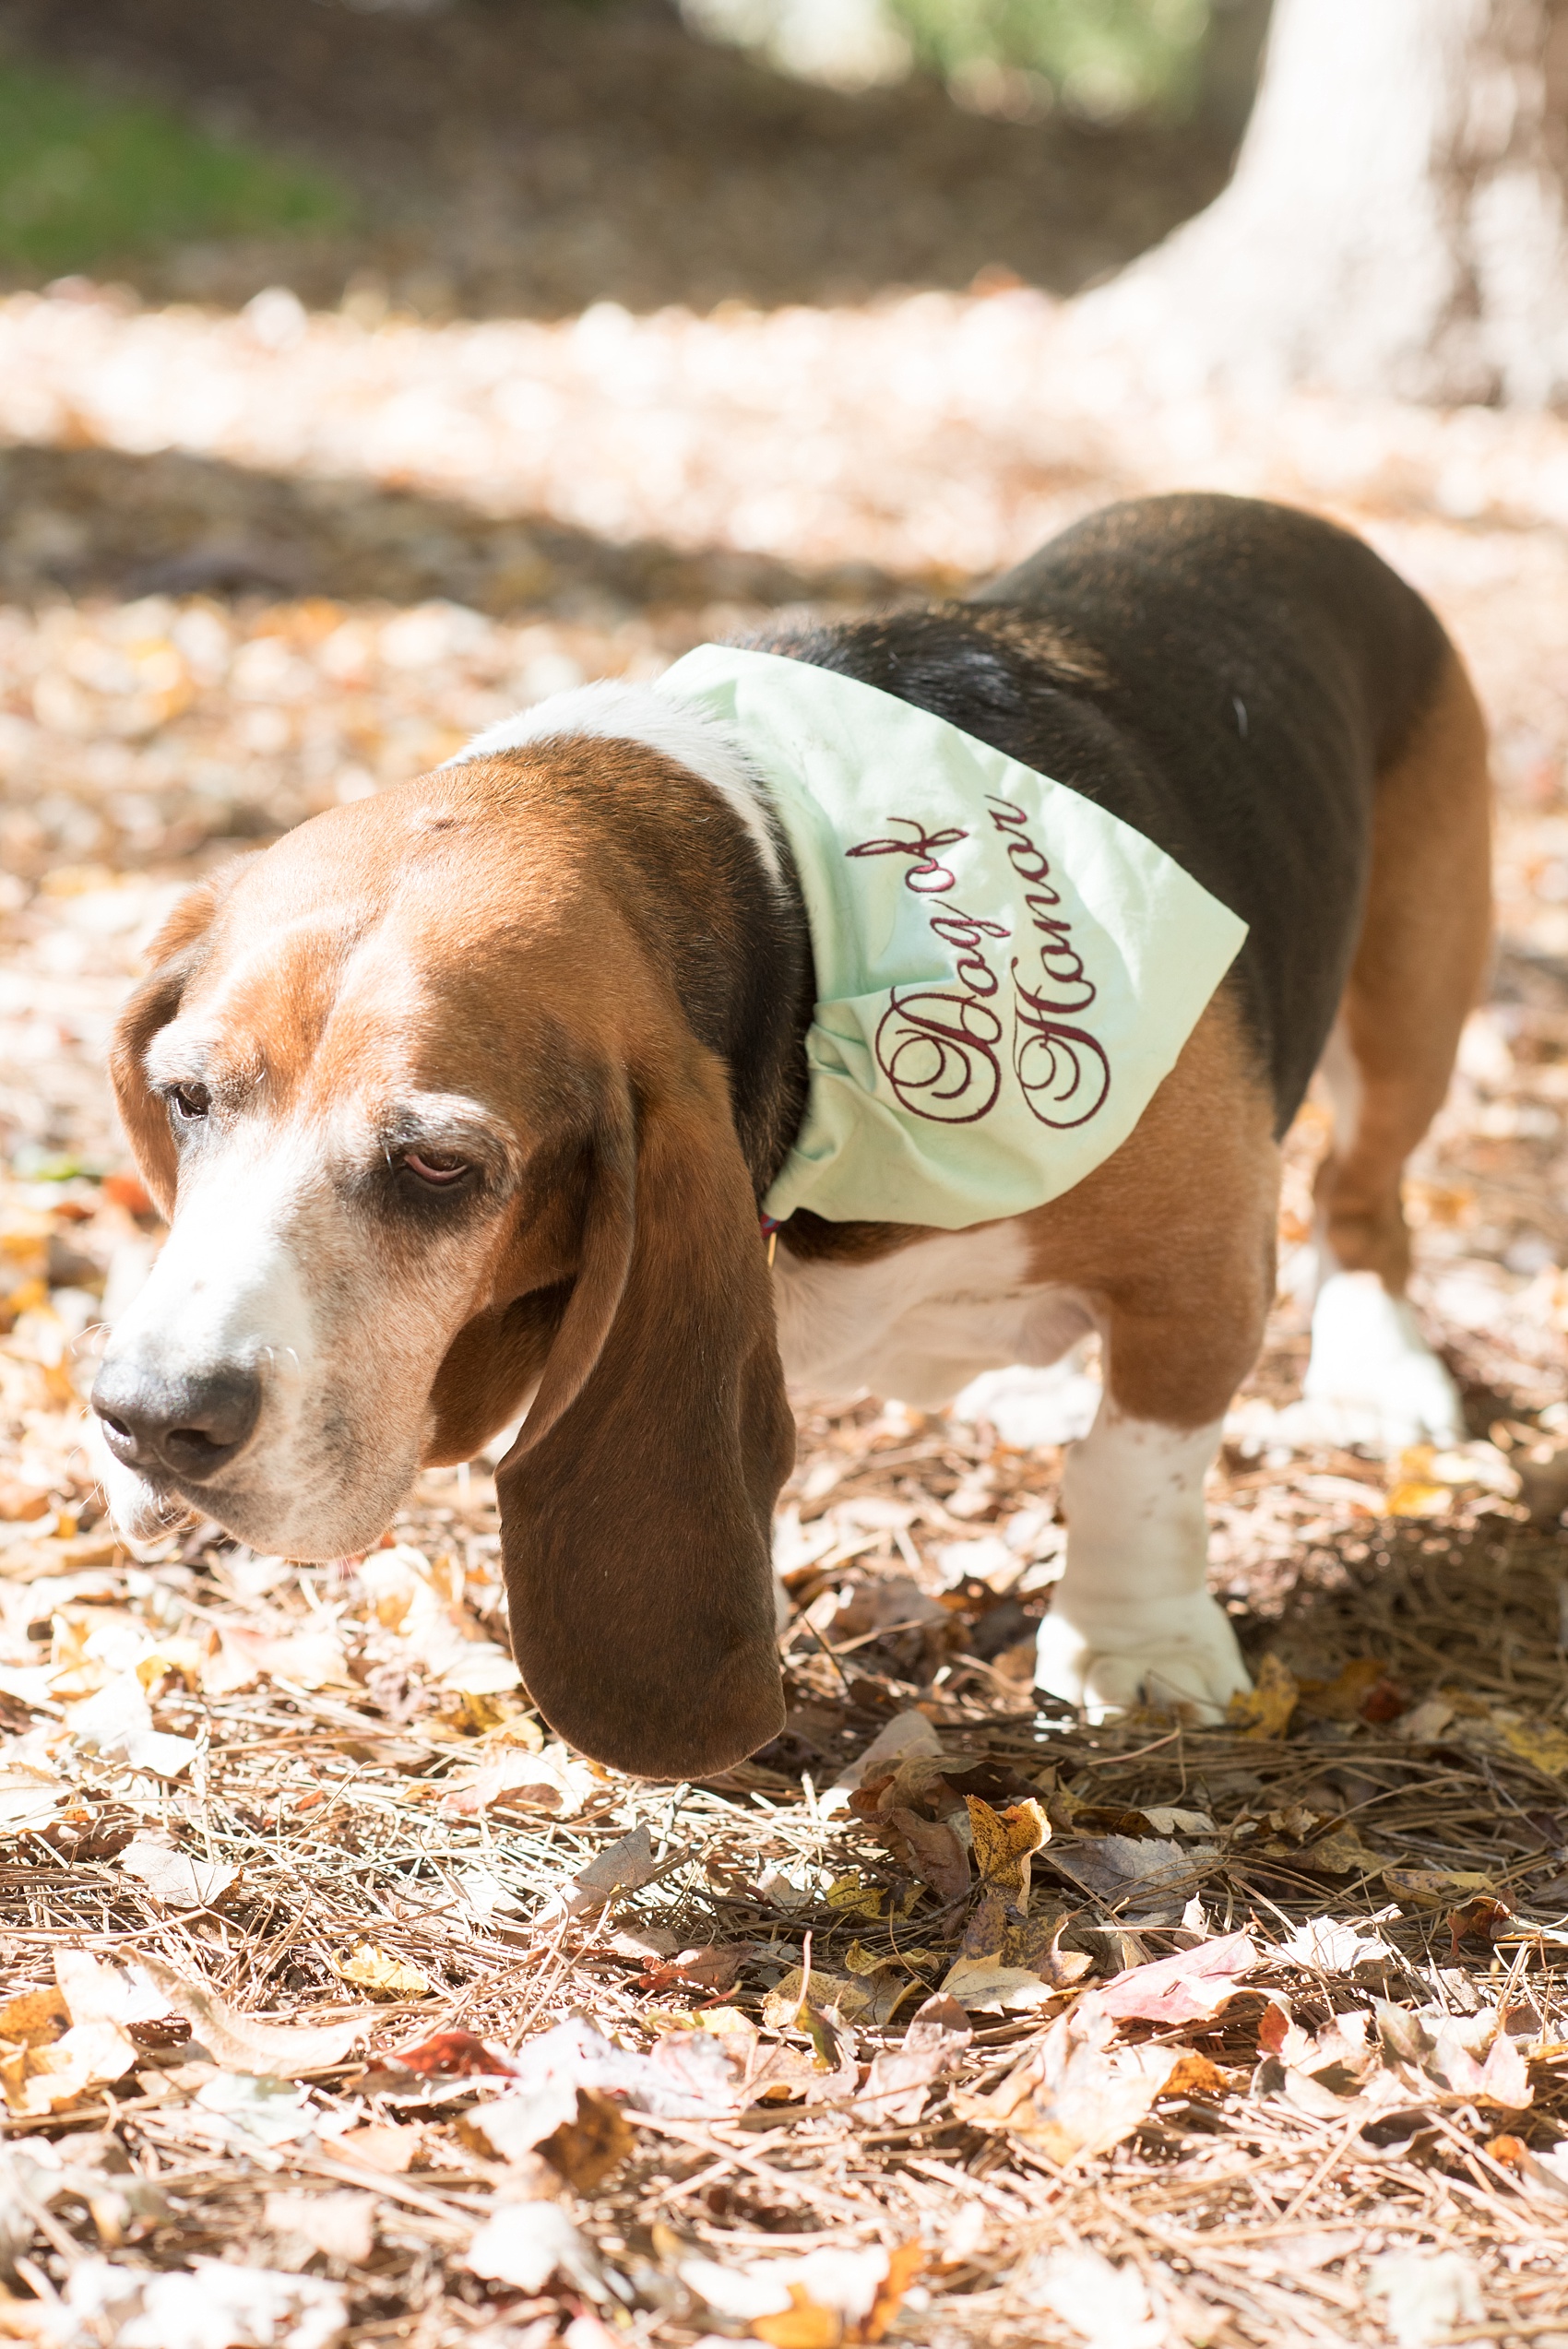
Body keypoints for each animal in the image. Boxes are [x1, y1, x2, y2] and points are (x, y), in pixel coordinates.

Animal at [95, 500, 1494, 1775]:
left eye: (440, 1165)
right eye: (186, 1098)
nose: (149, 1418)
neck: (793, 899)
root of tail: (1297, 521)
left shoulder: (1197, 1262)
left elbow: (1132, 1465)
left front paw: (1133, 1650)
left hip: (1408, 1011)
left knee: (1363, 1197)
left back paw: (1375, 1367)